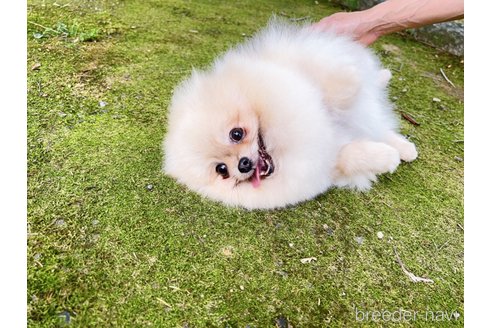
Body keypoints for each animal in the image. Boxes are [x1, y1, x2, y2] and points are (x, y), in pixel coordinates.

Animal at [163, 18, 418, 210]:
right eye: (221, 170)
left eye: (236, 134)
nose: (243, 164)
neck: (287, 149)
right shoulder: (328, 164)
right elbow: (351, 156)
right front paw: (387, 158)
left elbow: (336, 87)